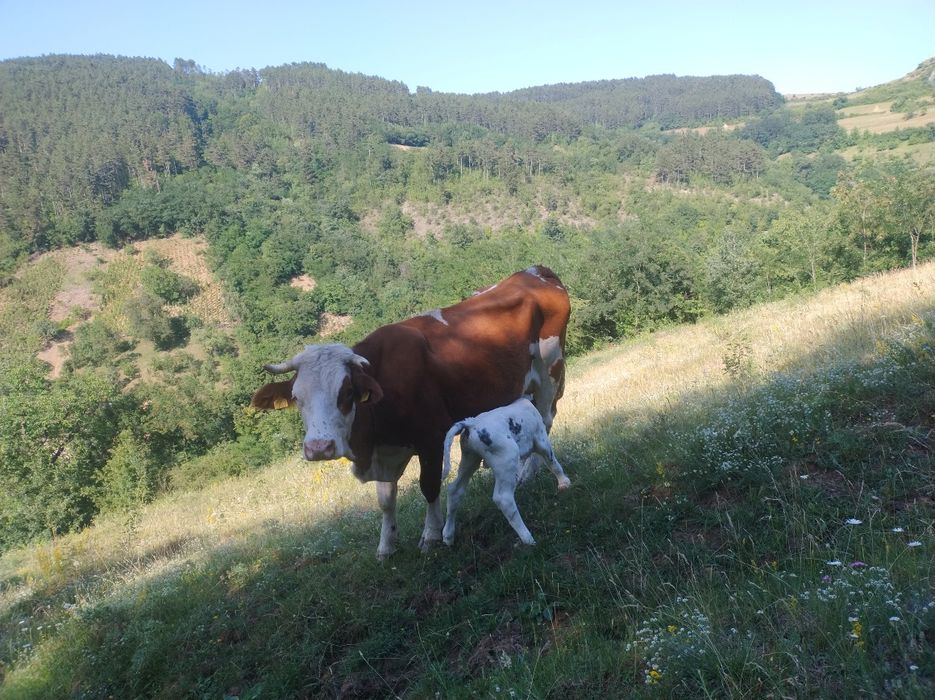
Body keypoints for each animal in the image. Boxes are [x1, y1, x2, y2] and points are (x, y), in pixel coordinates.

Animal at [441, 397, 571, 547]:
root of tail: (471, 423)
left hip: (470, 459)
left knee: (454, 490)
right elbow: (553, 463)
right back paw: (528, 539)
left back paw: (448, 536)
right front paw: (564, 482)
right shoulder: (542, 440)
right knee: (504, 499)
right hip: (507, 459)